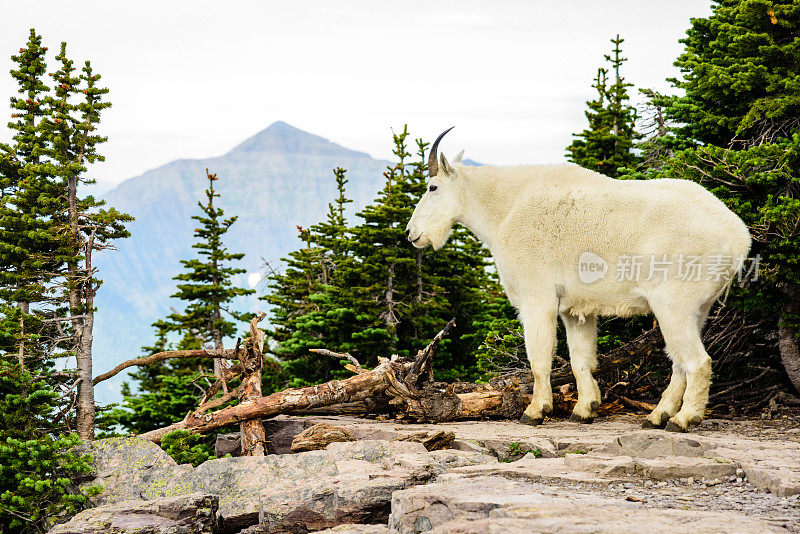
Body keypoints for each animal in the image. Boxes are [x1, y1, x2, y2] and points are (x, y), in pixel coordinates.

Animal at [406, 127, 752, 434]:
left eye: (432, 187)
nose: (411, 234)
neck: (505, 210)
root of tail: (739, 238)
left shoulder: (537, 298)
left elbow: (540, 357)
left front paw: (535, 411)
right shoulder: (575, 310)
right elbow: (580, 359)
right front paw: (585, 409)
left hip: (674, 303)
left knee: (697, 361)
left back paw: (683, 419)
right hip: (699, 308)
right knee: (680, 362)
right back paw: (657, 416)